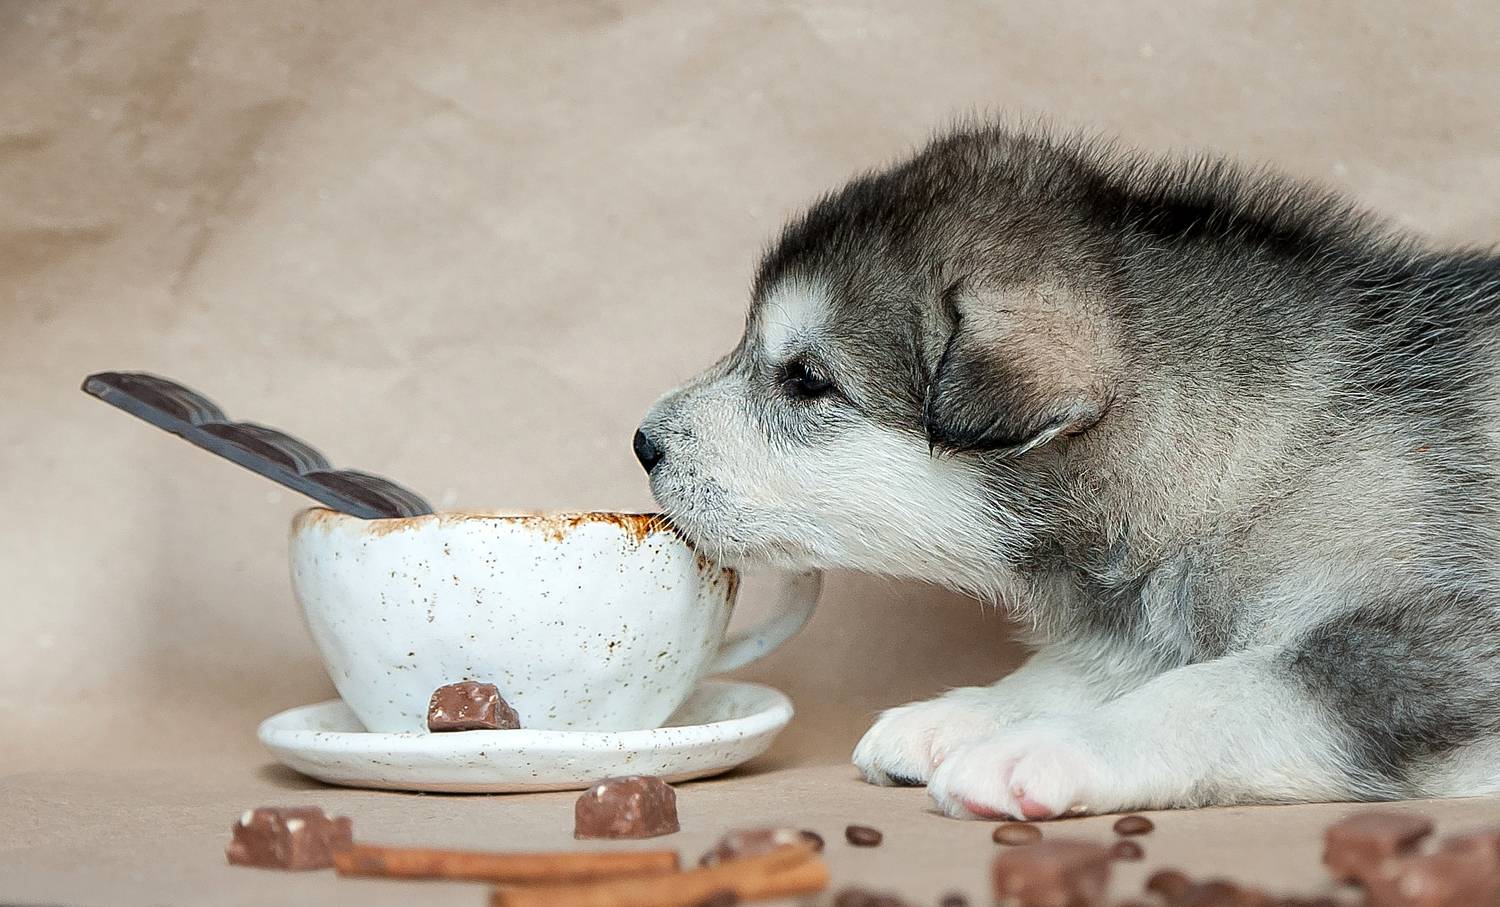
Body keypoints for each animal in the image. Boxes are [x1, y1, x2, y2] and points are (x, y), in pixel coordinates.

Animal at [633, 123, 1500, 820]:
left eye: (809, 379)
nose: (642, 443)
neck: (1259, 453)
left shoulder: (1444, 636)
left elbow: (1221, 688)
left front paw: (1047, 748)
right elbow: (1097, 661)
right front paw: (973, 711)